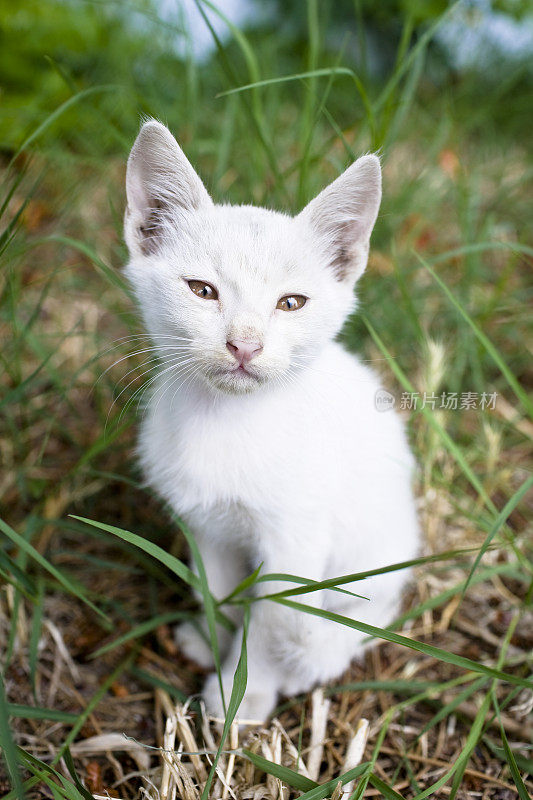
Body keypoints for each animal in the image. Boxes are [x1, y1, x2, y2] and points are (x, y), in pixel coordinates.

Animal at [122, 120, 418, 724]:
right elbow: (218, 589)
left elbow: (271, 616)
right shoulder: (204, 523)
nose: (245, 344)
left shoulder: (295, 540)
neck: (226, 422)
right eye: (202, 290)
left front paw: (246, 690)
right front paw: (213, 636)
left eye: (291, 303)